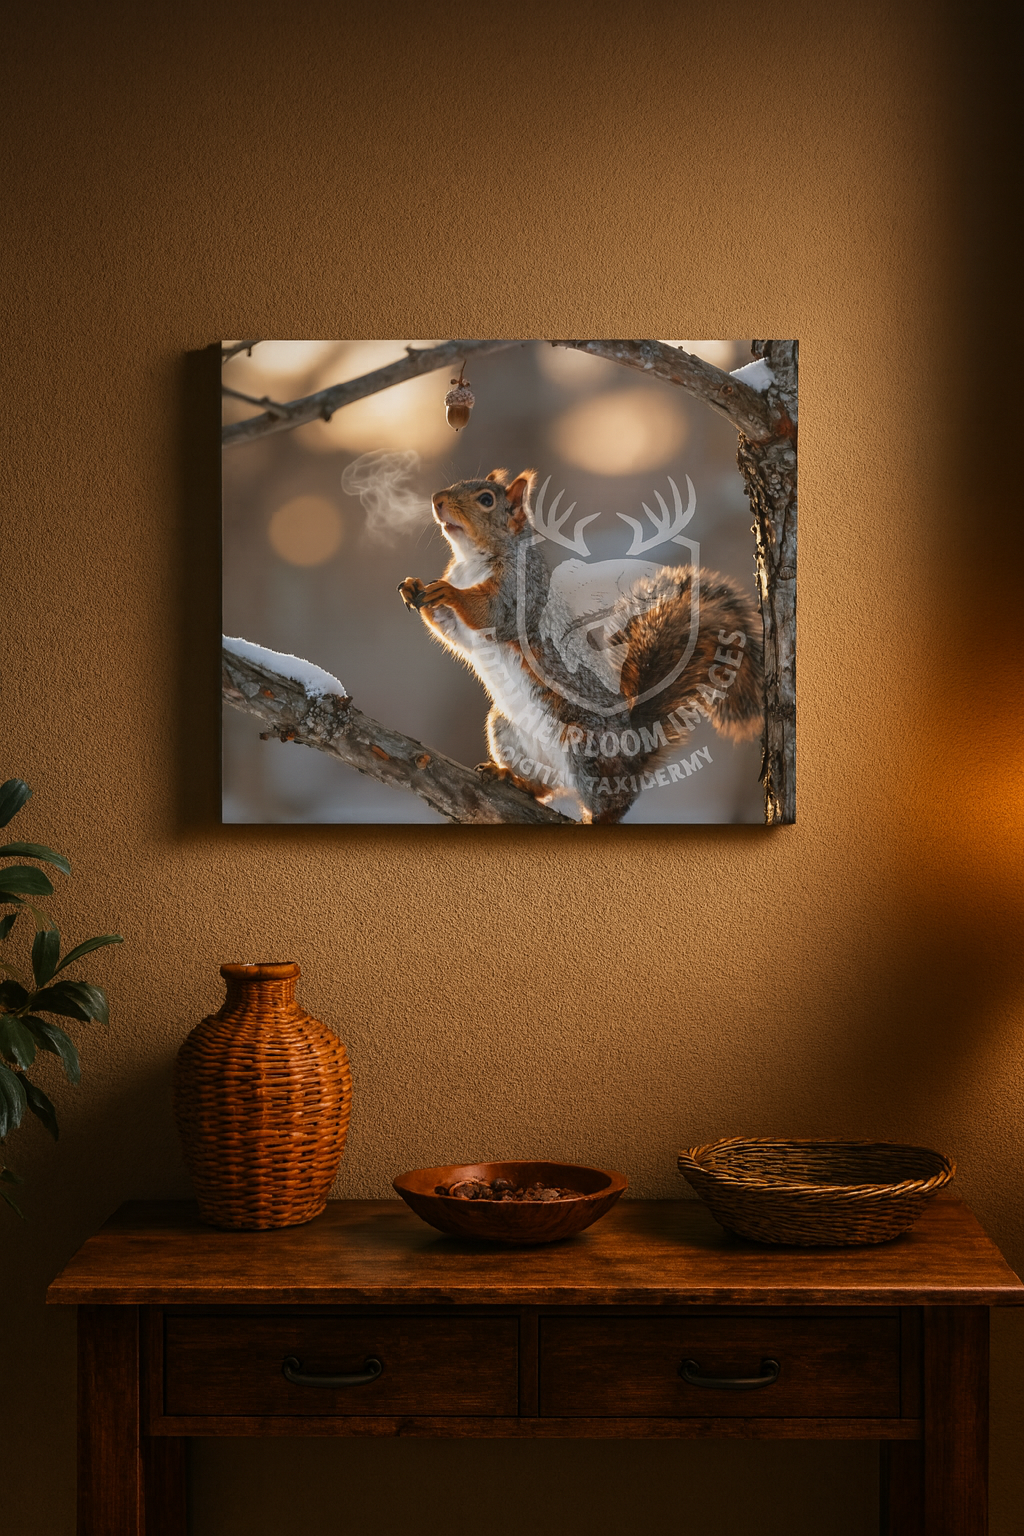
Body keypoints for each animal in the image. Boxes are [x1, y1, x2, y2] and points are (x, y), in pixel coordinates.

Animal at [398, 469, 763, 824]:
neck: (471, 562)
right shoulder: (464, 628)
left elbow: (491, 612)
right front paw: (413, 587)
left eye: (486, 500)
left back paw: (596, 817)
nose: (437, 500)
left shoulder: (520, 594)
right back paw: (513, 778)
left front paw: (450, 593)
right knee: (546, 786)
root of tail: (634, 751)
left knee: (611, 802)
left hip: (585, 746)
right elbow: (451, 631)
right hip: (505, 729)